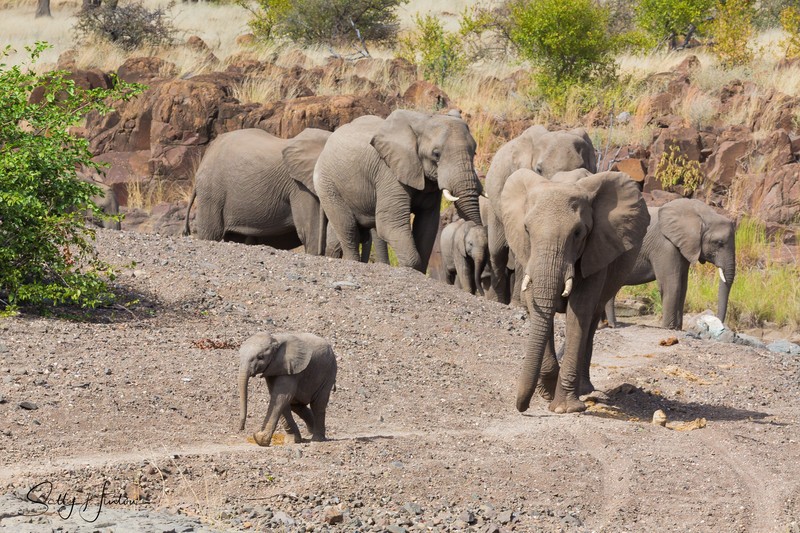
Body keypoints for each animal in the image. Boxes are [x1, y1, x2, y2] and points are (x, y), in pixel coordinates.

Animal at [313, 109, 484, 273]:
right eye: (436, 154)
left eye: (474, 152)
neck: (423, 119)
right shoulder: (389, 172)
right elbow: (389, 222)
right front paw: (411, 268)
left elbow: (427, 225)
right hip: (327, 183)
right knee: (348, 228)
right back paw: (353, 261)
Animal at [501, 169, 649, 414]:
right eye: (527, 230)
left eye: (578, 233)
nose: (522, 407)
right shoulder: (527, 254)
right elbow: (535, 301)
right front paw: (547, 392)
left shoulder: (597, 248)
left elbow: (578, 310)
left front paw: (564, 408)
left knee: (590, 321)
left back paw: (584, 389)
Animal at [605, 198, 736, 330]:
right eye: (719, 243)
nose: (718, 324)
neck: (701, 214)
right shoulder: (664, 244)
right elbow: (672, 285)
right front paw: (668, 328)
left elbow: (683, 287)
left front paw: (677, 328)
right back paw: (612, 325)